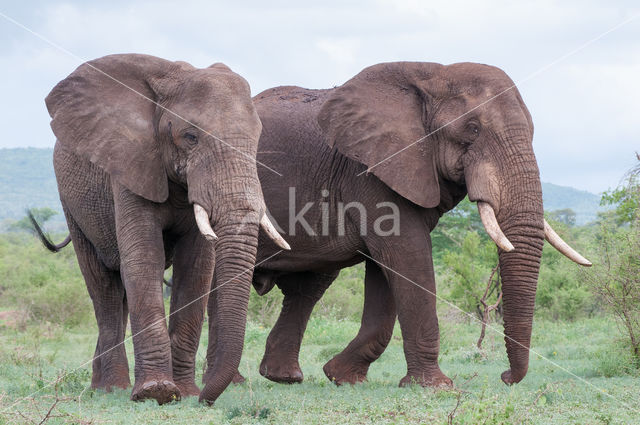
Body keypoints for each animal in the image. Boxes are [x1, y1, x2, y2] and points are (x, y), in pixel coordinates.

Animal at [31, 53, 288, 404]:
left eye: (257, 140)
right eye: (191, 137)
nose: (206, 399)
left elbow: (196, 268)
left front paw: (185, 392)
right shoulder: (129, 163)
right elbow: (144, 258)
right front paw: (157, 392)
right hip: (72, 203)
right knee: (104, 287)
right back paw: (112, 388)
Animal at [212, 60, 592, 388]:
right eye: (472, 129)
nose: (505, 377)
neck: (434, 75)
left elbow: (387, 269)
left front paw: (343, 377)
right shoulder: (368, 171)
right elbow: (407, 255)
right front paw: (437, 388)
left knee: (309, 286)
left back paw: (283, 378)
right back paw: (236, 382)